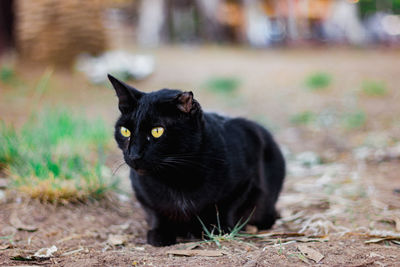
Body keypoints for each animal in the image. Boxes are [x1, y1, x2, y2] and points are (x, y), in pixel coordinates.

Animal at [108, 75, 284, 247]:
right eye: (125, 131)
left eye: (157, 131)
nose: (133, 154)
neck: (175, 178)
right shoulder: (141, 191)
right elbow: (156, 211)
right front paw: (160, 234)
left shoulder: (246, 181)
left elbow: (227, 208)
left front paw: (216, 230)